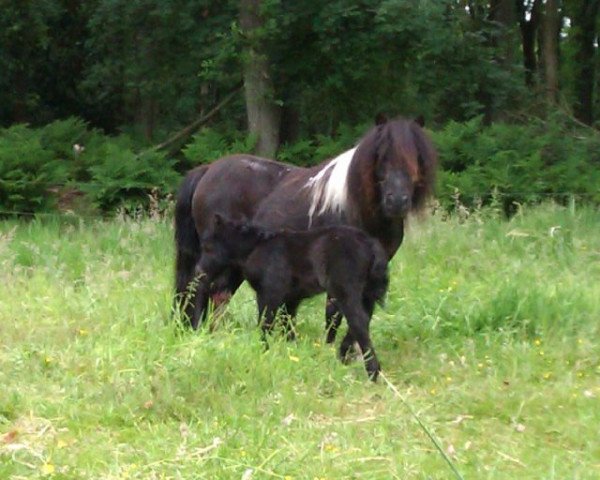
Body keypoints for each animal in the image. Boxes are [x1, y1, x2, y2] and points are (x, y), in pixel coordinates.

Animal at [173, 118, 436, 332]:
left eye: (417, 156)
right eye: (381, 154)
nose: (397, 201)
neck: (356, 206)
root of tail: (208, 170)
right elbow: (334, 313)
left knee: (218, 295)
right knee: (199, 287)